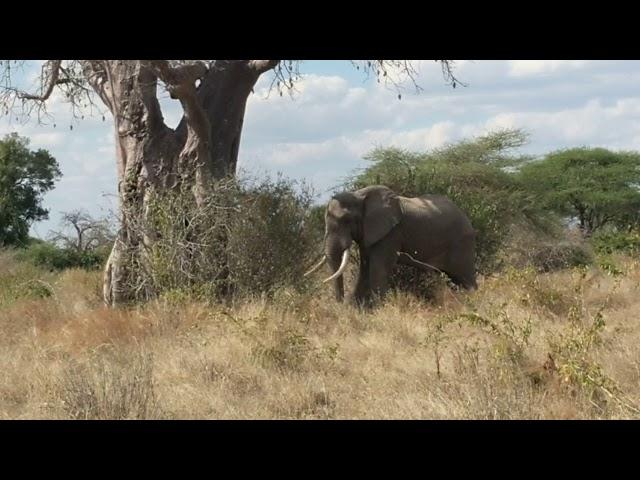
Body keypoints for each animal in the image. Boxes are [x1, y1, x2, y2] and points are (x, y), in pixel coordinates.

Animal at [308, 186, 478, 306]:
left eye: (347, 221)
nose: (340, 305)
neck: (358, 195)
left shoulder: (391, 233)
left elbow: (378, 268)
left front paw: (378, 309)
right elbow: (364, 268)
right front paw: (357, 308)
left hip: (462, 243)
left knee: (465, 278)